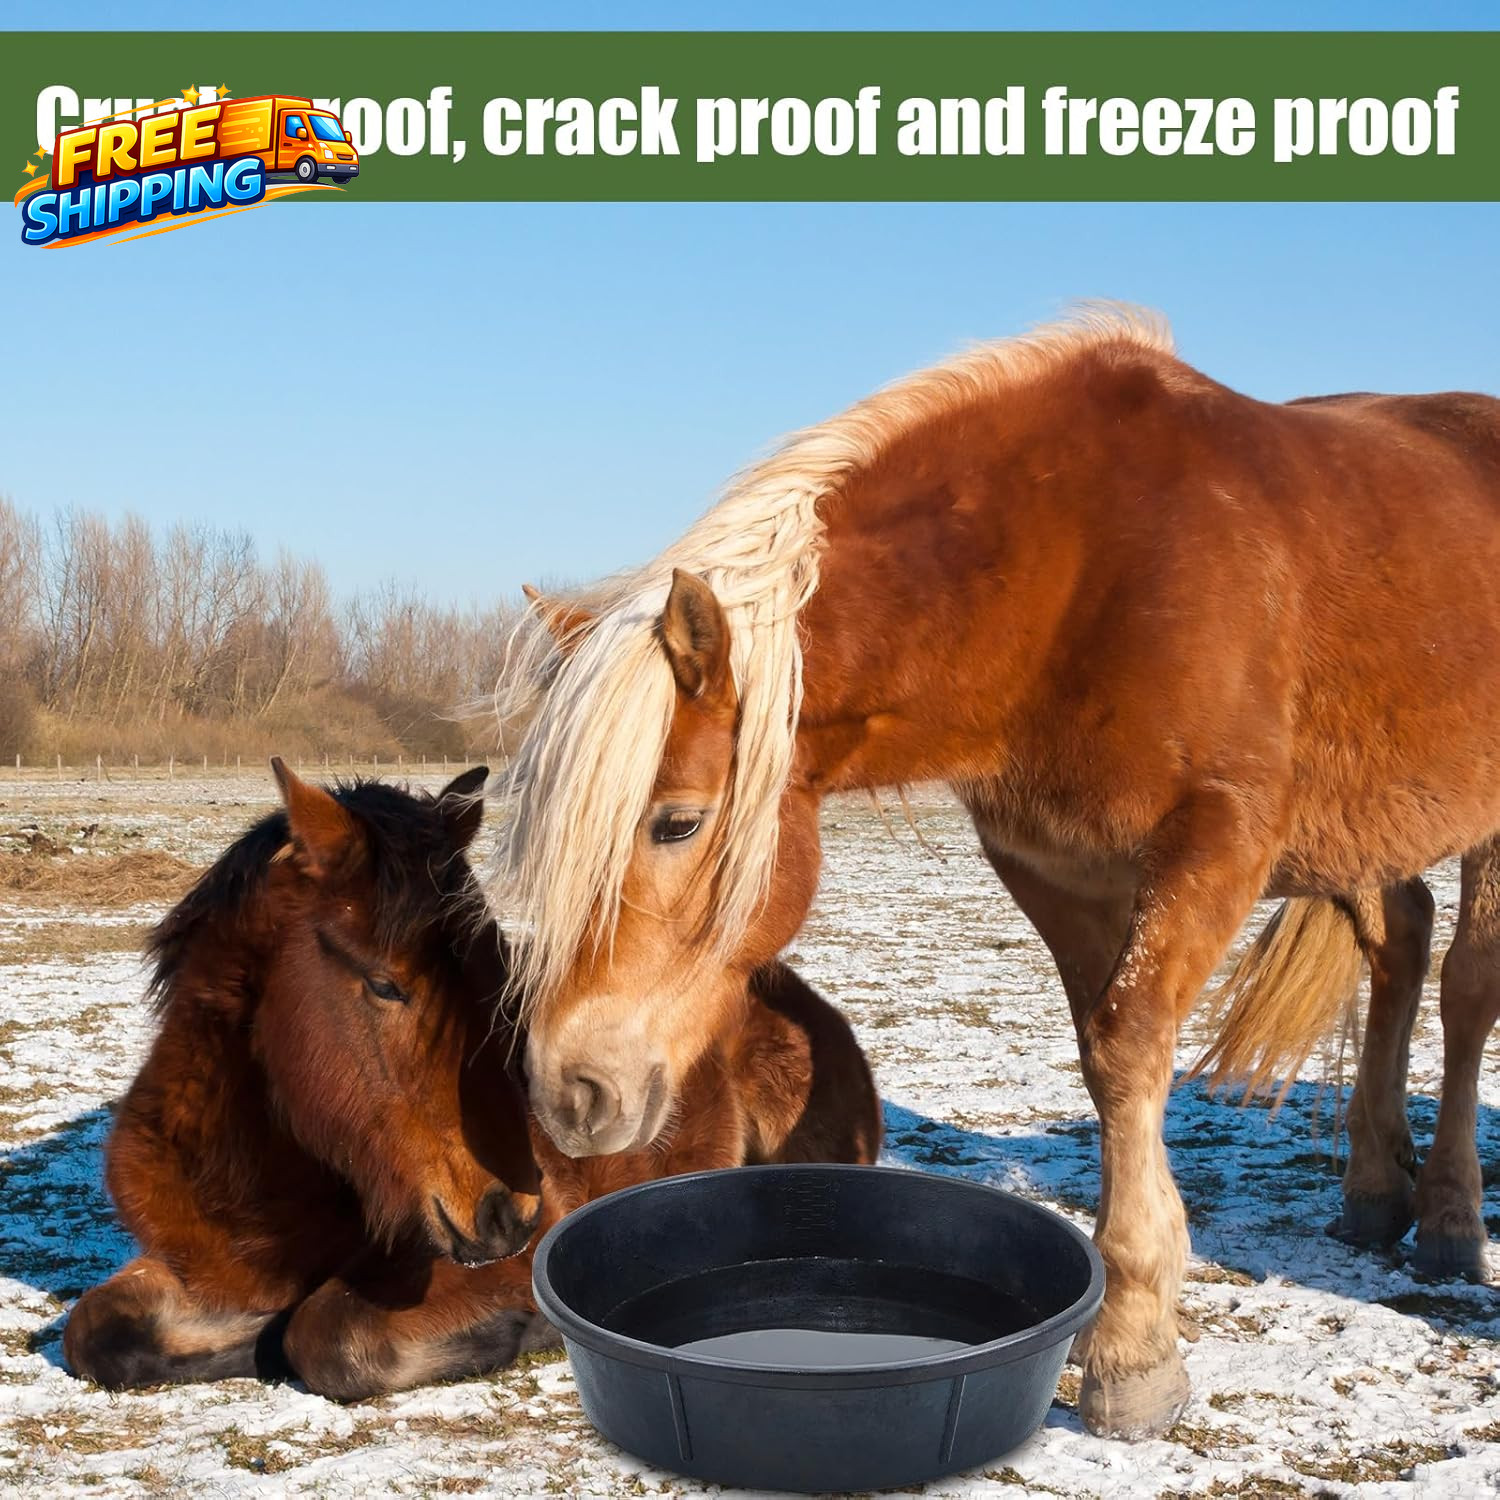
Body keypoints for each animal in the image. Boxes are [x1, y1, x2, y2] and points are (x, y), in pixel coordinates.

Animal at [64, 761, 881, 1400]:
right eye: (385, 986)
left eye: (498, 976)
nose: (509, 1211)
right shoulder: (193, 1266)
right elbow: (93, 1331)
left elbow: (324, 1335)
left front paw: (519, 1331)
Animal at [493, 306, 1500, 1440]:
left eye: (676, 822)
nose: (567, 1090)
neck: (1083, 564)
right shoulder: (1058, 870)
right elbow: (1108, 1060)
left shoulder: (1215, 843)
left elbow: (1129, 1045)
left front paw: (1132, 1349)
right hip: (1357, 829)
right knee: (1400, 943)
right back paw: (1374, 1192)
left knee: (1466, 991)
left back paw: (1450, 1220)